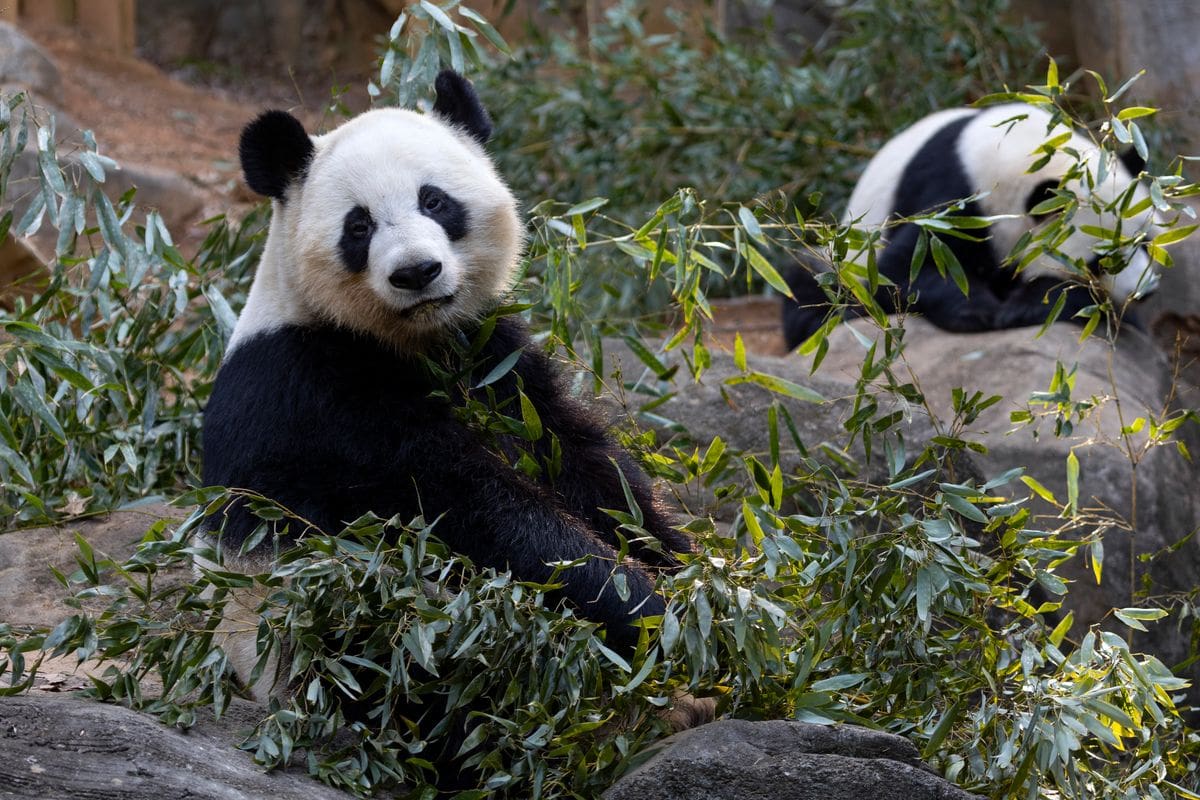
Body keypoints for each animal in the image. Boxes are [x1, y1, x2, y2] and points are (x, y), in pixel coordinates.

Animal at [199, 73, 700, 724]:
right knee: (426, 672)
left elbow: (587, 468)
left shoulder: (494, 356)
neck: (411, 337)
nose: (416, 272)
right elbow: (473, 510)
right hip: (321, 627)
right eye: (358, 226)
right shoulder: (316, 391)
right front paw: (648, 610)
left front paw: (704, 583)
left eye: (434, 201)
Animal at [777, 101, 1161, 347]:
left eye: (1145, 242)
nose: (1144, 293)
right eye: (1104, 260)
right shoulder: (954, 193)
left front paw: (1023, 306)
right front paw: (981, 312)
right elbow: (903, 269)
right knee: (812, 287)